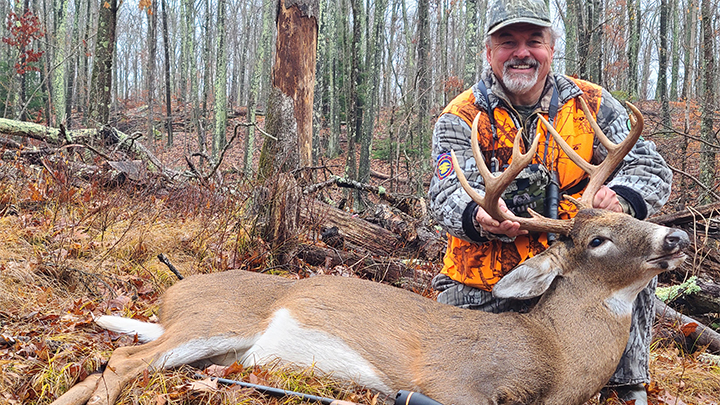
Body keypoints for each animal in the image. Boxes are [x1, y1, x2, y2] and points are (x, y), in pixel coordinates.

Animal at [47, 99, 688, 404]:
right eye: (597, 240)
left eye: (630, 215)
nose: (677, 238)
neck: (554, 357)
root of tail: (171, 295)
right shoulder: (449, 379)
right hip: (214, 321)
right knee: (122, 361)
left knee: (108, 364)